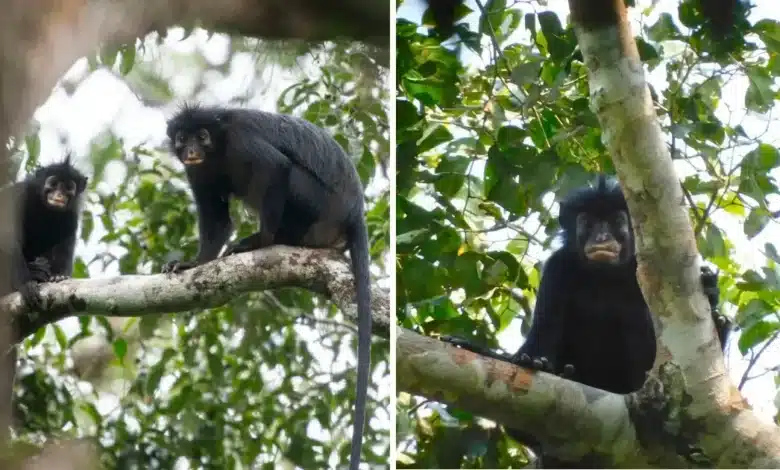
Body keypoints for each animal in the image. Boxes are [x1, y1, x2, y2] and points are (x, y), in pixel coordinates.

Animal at [160, 104, 373, 470]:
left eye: (202, 136)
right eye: (183, 138)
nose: (191, 151)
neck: (218, 149)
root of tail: (354, 211)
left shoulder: (241, 140)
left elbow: (276, 167)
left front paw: (264, 240)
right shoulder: (198, 174)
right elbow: (217, 219)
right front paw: (194, 263)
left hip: (319, 205)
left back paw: (274, 238)